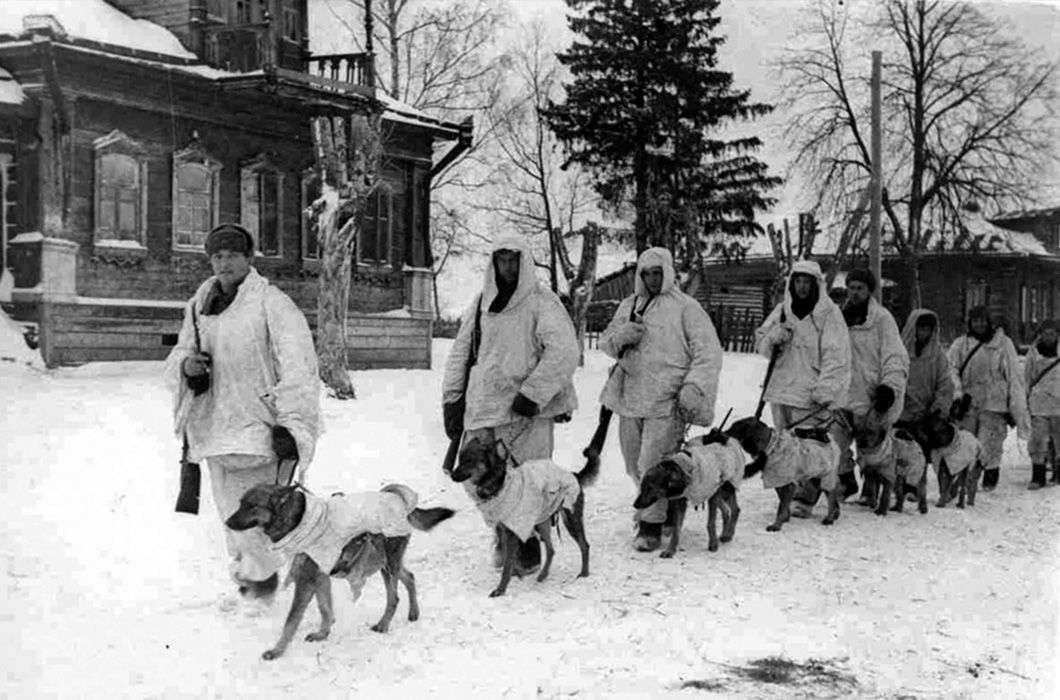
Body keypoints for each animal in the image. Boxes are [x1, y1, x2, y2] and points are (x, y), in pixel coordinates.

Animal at [225, 483, 453, 657]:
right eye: (240, 504)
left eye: (252, 506)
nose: (227, 522)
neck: (298, 521)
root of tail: (396, 497)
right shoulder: (320, 576)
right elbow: (325, 607)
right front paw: (323, 633)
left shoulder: (306, 580)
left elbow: (291, 620)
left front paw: (277, 651)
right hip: (386, 562)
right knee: (409, 577)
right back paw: (414, 612)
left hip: (387, 563)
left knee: (394, 597)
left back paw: (383, 624)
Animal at [447, 436, 597, 598]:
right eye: (460, 459)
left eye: (469, 461)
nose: (451, 475)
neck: (499, 483)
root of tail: (574, 474)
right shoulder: (505, 530)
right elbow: (509, 558)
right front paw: (517, 574)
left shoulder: (512, 532)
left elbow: (507, 563)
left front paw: (501, 588)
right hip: (542, 523)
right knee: (551, 550)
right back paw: (543, 575)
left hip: (571, 520)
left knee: (585, 545)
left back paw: (584, 573)